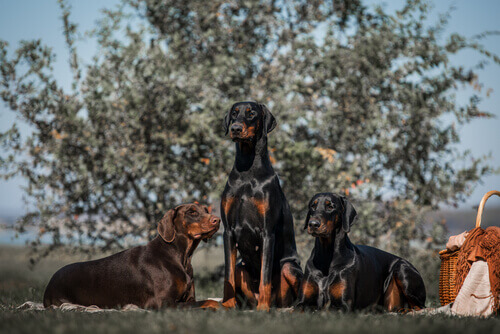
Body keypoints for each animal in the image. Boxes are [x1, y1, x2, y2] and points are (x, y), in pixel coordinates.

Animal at [42, 204, 222, 310]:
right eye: (192, 212)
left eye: (206, 210)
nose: (217, 219)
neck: (180, 257)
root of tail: (50, 282)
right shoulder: (162, 303)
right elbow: (210, 301)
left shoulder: (189, 298)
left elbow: (205, 301)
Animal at [222, 101, 302, 310]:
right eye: (234, 113)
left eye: (251, 114)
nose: (235, 128)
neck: (247, 171)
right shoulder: (228, 231)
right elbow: (228, 275)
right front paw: (227, 304)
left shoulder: (267, 233)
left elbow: (265, 275)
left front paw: (263, 308)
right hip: (242, 269)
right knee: (237, 270)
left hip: (289, 267)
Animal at [294, 192, 428, 312]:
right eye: (313, 206)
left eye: (330, 206)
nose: (313, 224)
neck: (326, 255)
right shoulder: (301, 302)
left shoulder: (344, 305)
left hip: (402, 268)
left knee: (420, 307)